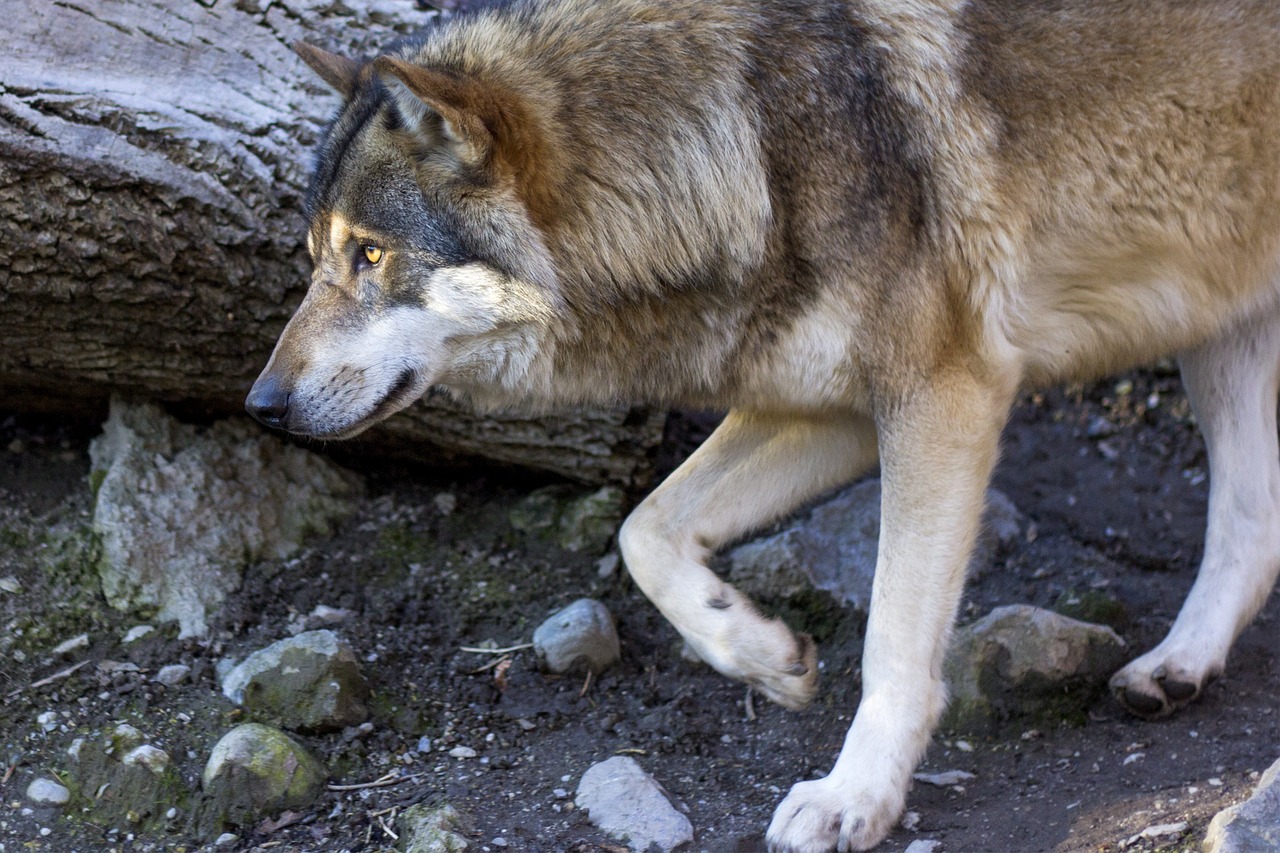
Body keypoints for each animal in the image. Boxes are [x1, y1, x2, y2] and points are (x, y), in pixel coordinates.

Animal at [244, 1, 1280, 845]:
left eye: (371, 254)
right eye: (318, 255)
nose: (262, 404)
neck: (749, 142)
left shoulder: (943, 397)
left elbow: (894, 634)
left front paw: (854, 795)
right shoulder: (832, 409)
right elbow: (645, 530)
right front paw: (757, 651)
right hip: (1221, 335)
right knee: (1251, 523)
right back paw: (1179, 665)